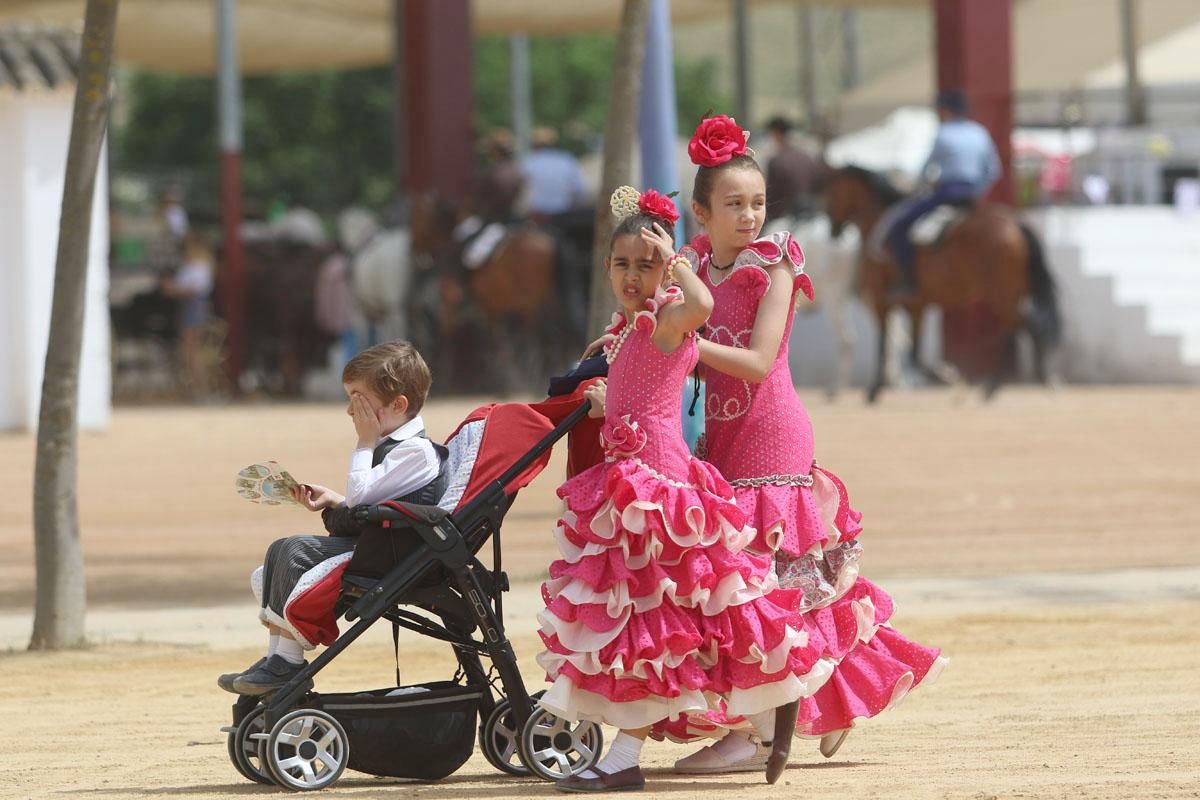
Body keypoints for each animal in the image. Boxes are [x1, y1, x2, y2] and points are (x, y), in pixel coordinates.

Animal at [825, 166, 1060, 402]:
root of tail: (1014, 223)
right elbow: (914, 354)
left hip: (1001, 295)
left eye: (833, 193)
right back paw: (1008, 384)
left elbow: (884, 346)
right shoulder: (916, 307)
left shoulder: (882, 301)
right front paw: (948, 376)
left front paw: (875, 390)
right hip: (1012, 294)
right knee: (1019, 329)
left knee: (1026, 327)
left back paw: (1025, 380)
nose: (833, 230)